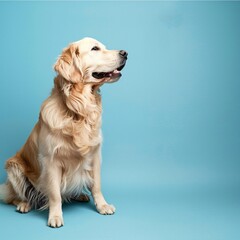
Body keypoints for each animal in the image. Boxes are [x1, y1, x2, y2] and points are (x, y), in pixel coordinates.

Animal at [0, 37, 127, 227]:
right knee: (16, 195)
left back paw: (79, 195)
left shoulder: (95, 156)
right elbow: (54, 194)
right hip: (13, 168)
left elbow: (96, 186)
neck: (78, 111)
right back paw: (24, 204)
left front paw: (102, 206)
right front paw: (55, 216)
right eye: (95, 49)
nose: (125, 53)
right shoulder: (51, 160)